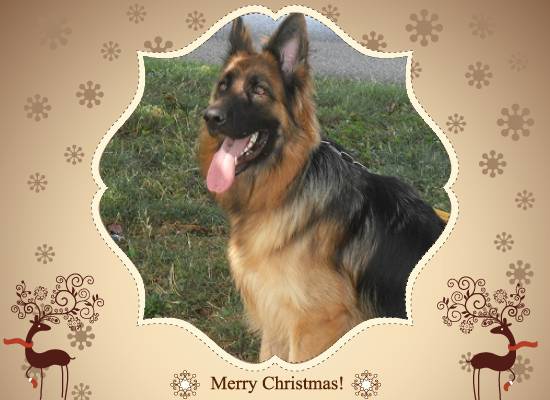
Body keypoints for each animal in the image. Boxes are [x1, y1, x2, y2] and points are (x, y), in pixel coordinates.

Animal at [198, 14, 446, 362]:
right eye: (223, 85)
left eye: (258, 89)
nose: (210, 117)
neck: (289, 186)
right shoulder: (276, 318)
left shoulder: (313, 327)